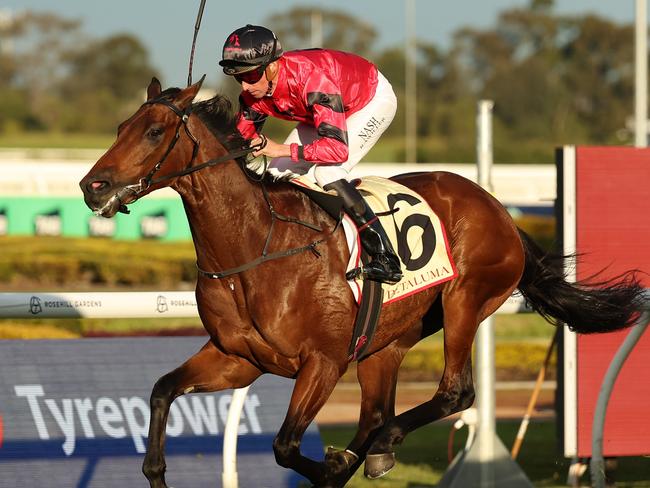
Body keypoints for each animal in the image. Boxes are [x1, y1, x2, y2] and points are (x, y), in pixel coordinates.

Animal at [78, 78, 640, 486]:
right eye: (123, 125)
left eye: (154, 132)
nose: (92, 185)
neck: (254, 246)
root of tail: (498, 208)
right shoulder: (238, 359)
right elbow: (161, 391)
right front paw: (156, 470)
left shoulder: (323, 362)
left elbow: (286, 445)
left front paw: (330, 465)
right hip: (387, 341)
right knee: (374, 414)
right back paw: (373, 450)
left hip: (465, 301)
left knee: (453, 394)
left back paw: (381, 446)